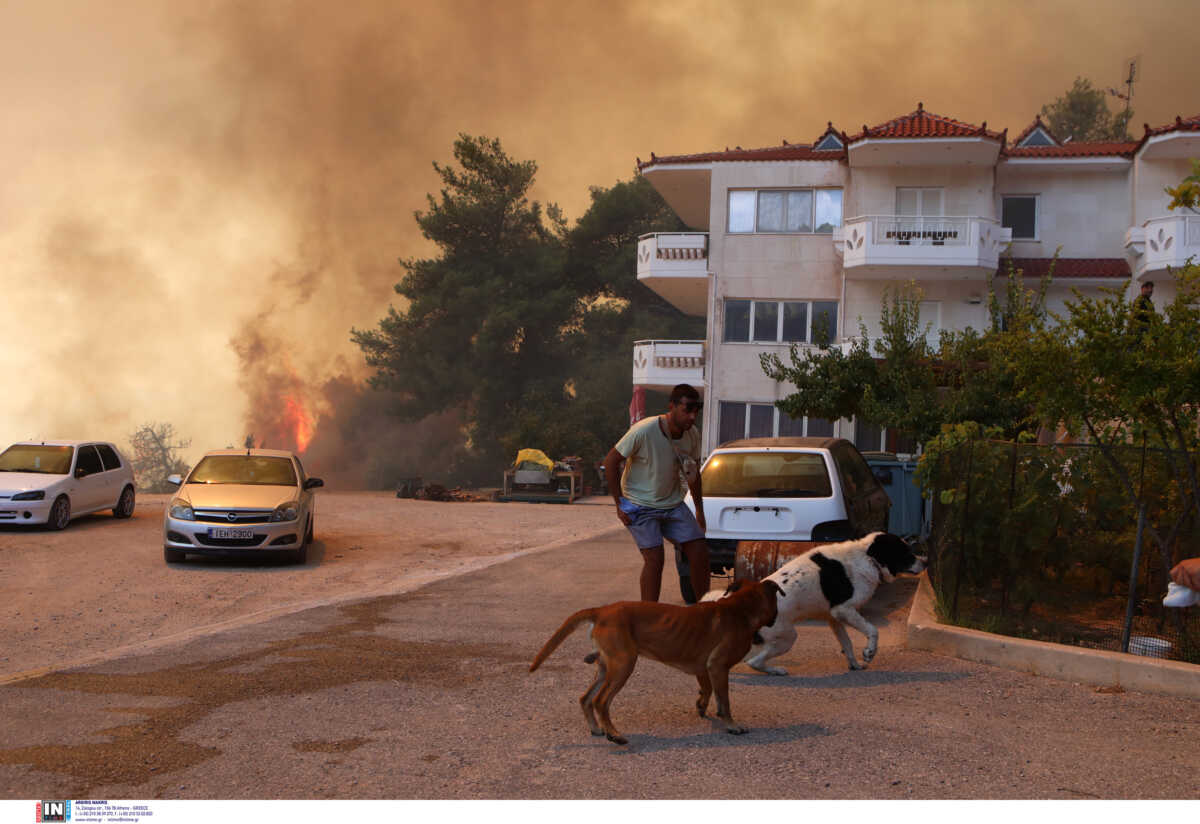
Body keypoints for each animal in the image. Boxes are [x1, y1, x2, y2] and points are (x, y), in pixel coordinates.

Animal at [530, 580, 782, 748]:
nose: (776, 618)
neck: (740, 609)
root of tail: (602, 611)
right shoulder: (718, 667)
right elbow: (725, 699)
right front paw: (732, 725)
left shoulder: (706, 668)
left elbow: (711, 691)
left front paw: (705, 707)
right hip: (623, 665)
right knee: (600, 701)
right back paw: (614, 734)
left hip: (606, 668)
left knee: (585, 698)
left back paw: (596, 728)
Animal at [700, 534, 926, 676]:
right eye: (906, 553)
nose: (925, 562)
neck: (868, 558)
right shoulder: (844, 609)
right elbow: (872, 630)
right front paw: (869, 652)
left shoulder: (834, 617)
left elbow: (847, 643)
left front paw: (854, 664)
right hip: (788, 637)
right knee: (753, 662)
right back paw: (776, 670)